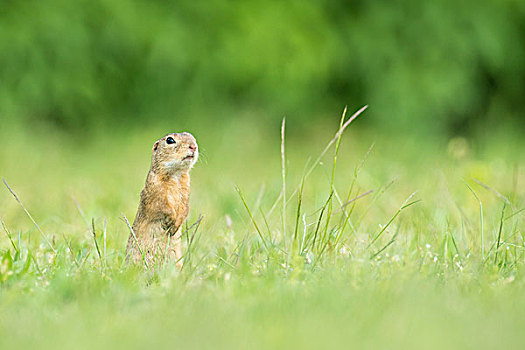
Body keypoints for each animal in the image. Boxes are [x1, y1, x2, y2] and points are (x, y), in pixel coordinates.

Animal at [127, 132, 199, 268]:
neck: (176, 175)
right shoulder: (155, 190)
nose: (193, 146)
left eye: (192, 137)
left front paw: (176, 224)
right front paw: (171, 221)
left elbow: (185, 208)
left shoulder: (186, 190)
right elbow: (161, 205)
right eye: (170, 140)